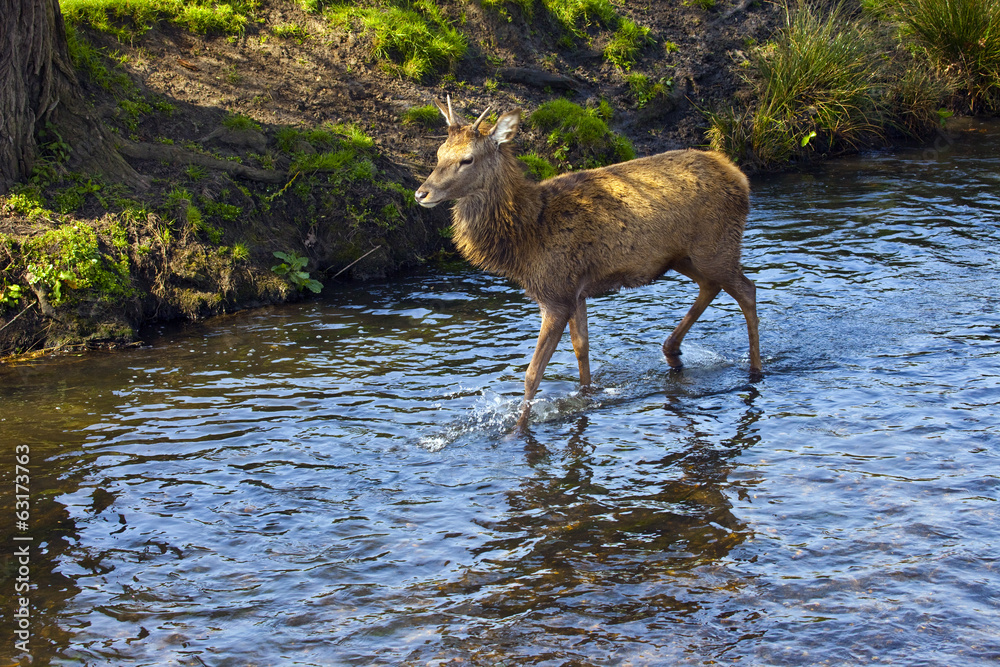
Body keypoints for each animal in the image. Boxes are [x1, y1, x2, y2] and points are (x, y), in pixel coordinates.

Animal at [415, 96, 761, 428]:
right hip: (685, 256)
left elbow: (532, 373)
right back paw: (672, 351)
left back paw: (755, 370)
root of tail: (741, 177)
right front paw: (586, 396)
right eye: (438, 153)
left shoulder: (554, 293)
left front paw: (517, 428)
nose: (421, 193)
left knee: (747, 290)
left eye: (467, 159)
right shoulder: (575, 291)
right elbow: (581, 348)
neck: (523, 239)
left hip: (716, 245)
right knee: (711, 285)